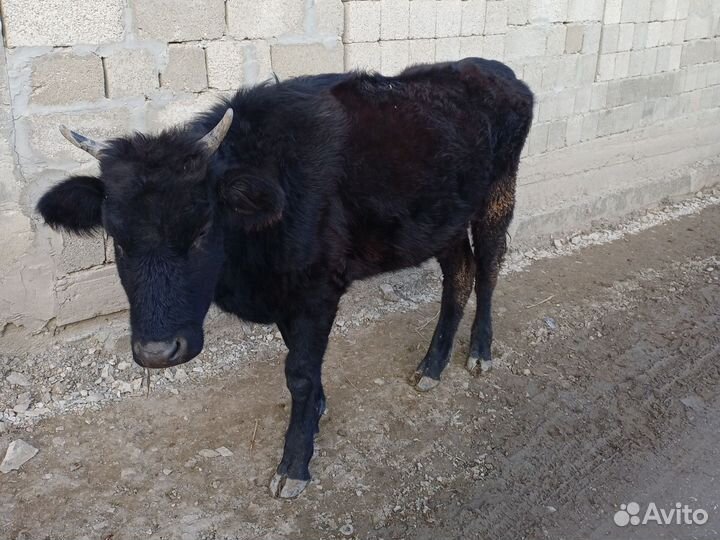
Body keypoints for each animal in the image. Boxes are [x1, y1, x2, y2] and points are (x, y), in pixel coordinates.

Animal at [37, 58, 533, 498]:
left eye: (202, 229)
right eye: (118, 240)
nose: (158, 353)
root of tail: (496, 71)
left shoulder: (318, 289)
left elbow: (299, 372)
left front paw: (294, 464)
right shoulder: (283, 294)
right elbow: (299, 357)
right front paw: (315, 411)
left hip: (498, 196)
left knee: (489, 267)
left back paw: (480, 352)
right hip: (444, 219)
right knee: (459, 274)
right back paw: (432, 366)